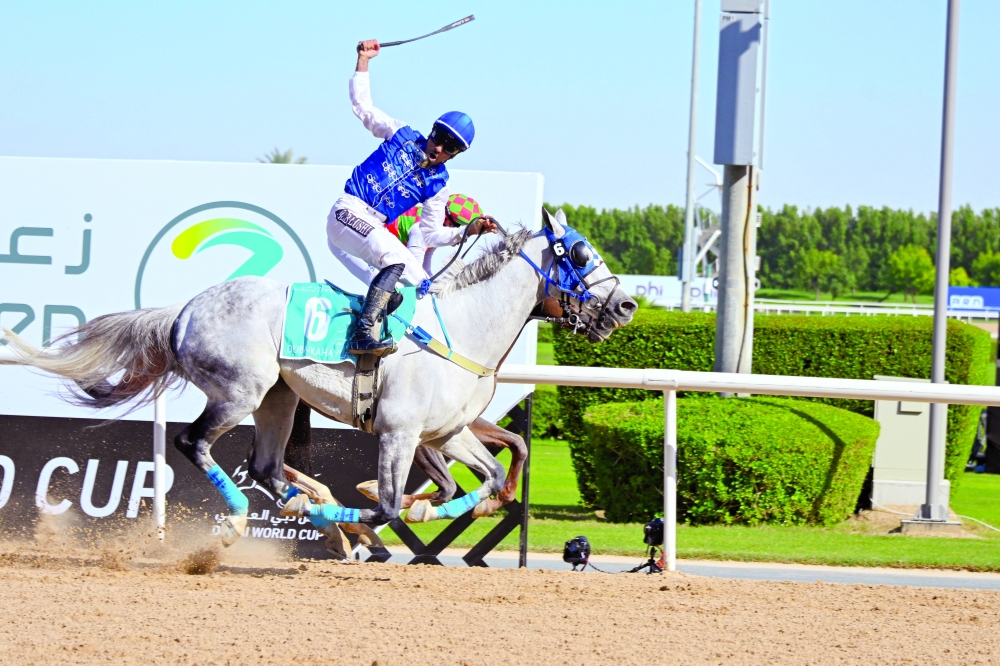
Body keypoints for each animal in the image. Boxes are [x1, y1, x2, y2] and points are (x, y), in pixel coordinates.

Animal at [1, 208, 636, 547]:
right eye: (581, 253)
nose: (627, 306)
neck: (459, 331)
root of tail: (185, 308)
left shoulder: (448, 432)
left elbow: (488, 476)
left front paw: (432, 509)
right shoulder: (401, 433)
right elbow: (387, 504)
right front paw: (369, 519)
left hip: (278, 399)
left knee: (264, 464)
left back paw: (297, 507)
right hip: (241, 391)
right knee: (193, 442)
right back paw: (244, 518)